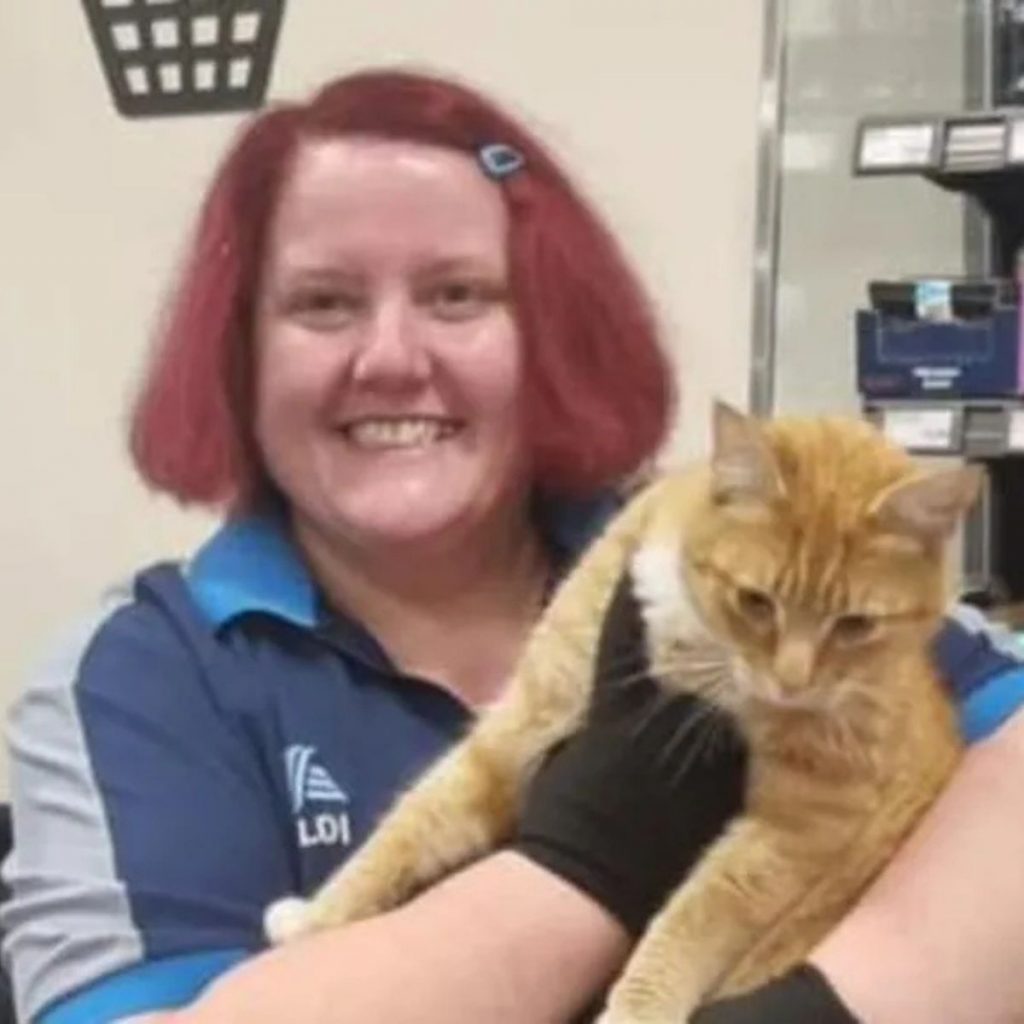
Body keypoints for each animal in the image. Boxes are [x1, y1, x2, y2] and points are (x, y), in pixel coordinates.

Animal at [268, 403, 978, 1019]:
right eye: (755, 601)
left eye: (855, 626)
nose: (793, 683)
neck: (698, 647)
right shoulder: (521, 724)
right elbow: (409, 827)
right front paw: (314, 918)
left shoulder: (798, 830)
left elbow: (694, 918)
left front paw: (639, 1009)